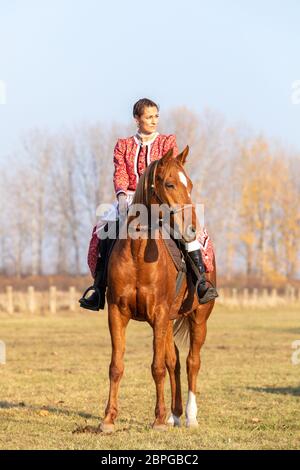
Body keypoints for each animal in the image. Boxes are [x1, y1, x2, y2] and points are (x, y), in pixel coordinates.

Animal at [100, 145, 216, 432]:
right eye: (170, 183)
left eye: (190, 184)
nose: (192, 228)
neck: (138, 253)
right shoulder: (117, 314)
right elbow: (116, 366)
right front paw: (108, 419)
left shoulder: (160, 315)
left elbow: (157, 367)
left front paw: (159, 419)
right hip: (170, 322)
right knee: (175, 361)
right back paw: (175, 415)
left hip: (199, 318)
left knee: (192, 362)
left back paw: (190, 416)